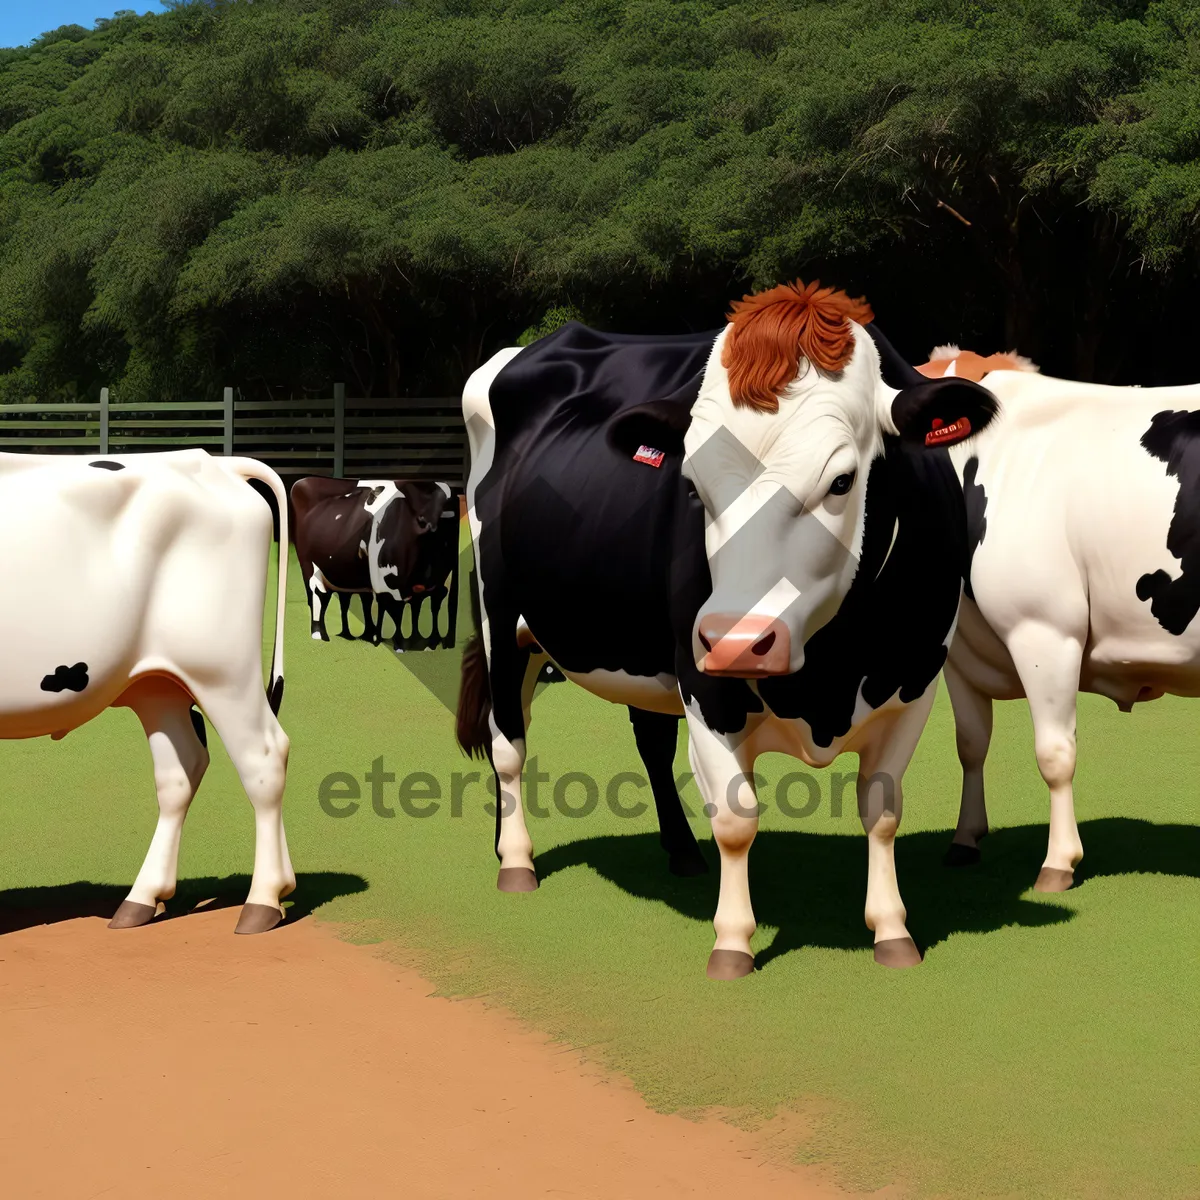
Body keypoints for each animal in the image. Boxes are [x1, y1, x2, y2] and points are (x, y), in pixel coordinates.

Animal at [0, 451, 290, 936]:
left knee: (263, 756)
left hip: (221, 665)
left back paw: (263, 902)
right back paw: (142, 899)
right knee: (181, 768)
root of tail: (213, 461)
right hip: (158, 684)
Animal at [292, 475, 456, 648]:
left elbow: (426, 603)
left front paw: (423, 640)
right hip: (311, 569)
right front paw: (396, 643)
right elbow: (395, 608)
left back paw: (353, 634)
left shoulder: (436, 582)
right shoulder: (388, 580)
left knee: (347, 598)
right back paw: (320, 634)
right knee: (318, 596)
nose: (430, 525)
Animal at [453, 285, 998, 979]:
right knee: (508, 740)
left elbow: (881, 811)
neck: (831, 671)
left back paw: (674, 852)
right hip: (501, 616)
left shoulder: (914, 681)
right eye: (693, 486)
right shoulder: (705, 684)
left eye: (841, 481)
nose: (737, 642)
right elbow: (737, 819)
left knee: (647, 742)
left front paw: (892, 932)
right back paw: (517, 859)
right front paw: (733, 943)